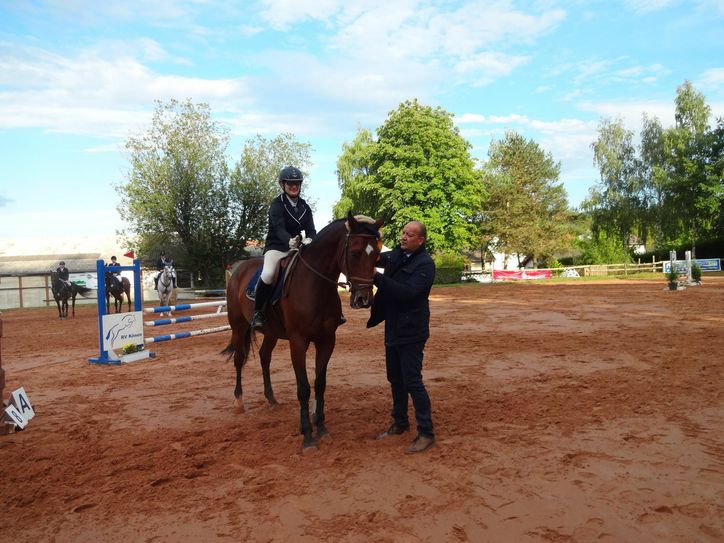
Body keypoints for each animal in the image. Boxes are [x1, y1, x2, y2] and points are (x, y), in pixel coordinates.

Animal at [224, 212, 384, 450]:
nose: (364, 300)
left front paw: (322, 428)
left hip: (271, 332)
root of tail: (239, 270)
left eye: (378, 256)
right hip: (238, 326)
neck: (315, 284)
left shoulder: (327, 341)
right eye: (354, 253)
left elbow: (319, 384)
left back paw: (271, 399)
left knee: (264, 357)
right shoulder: (298, 342)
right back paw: (238, 401)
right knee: (239, 359)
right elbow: (304, 388)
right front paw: (307, 435)